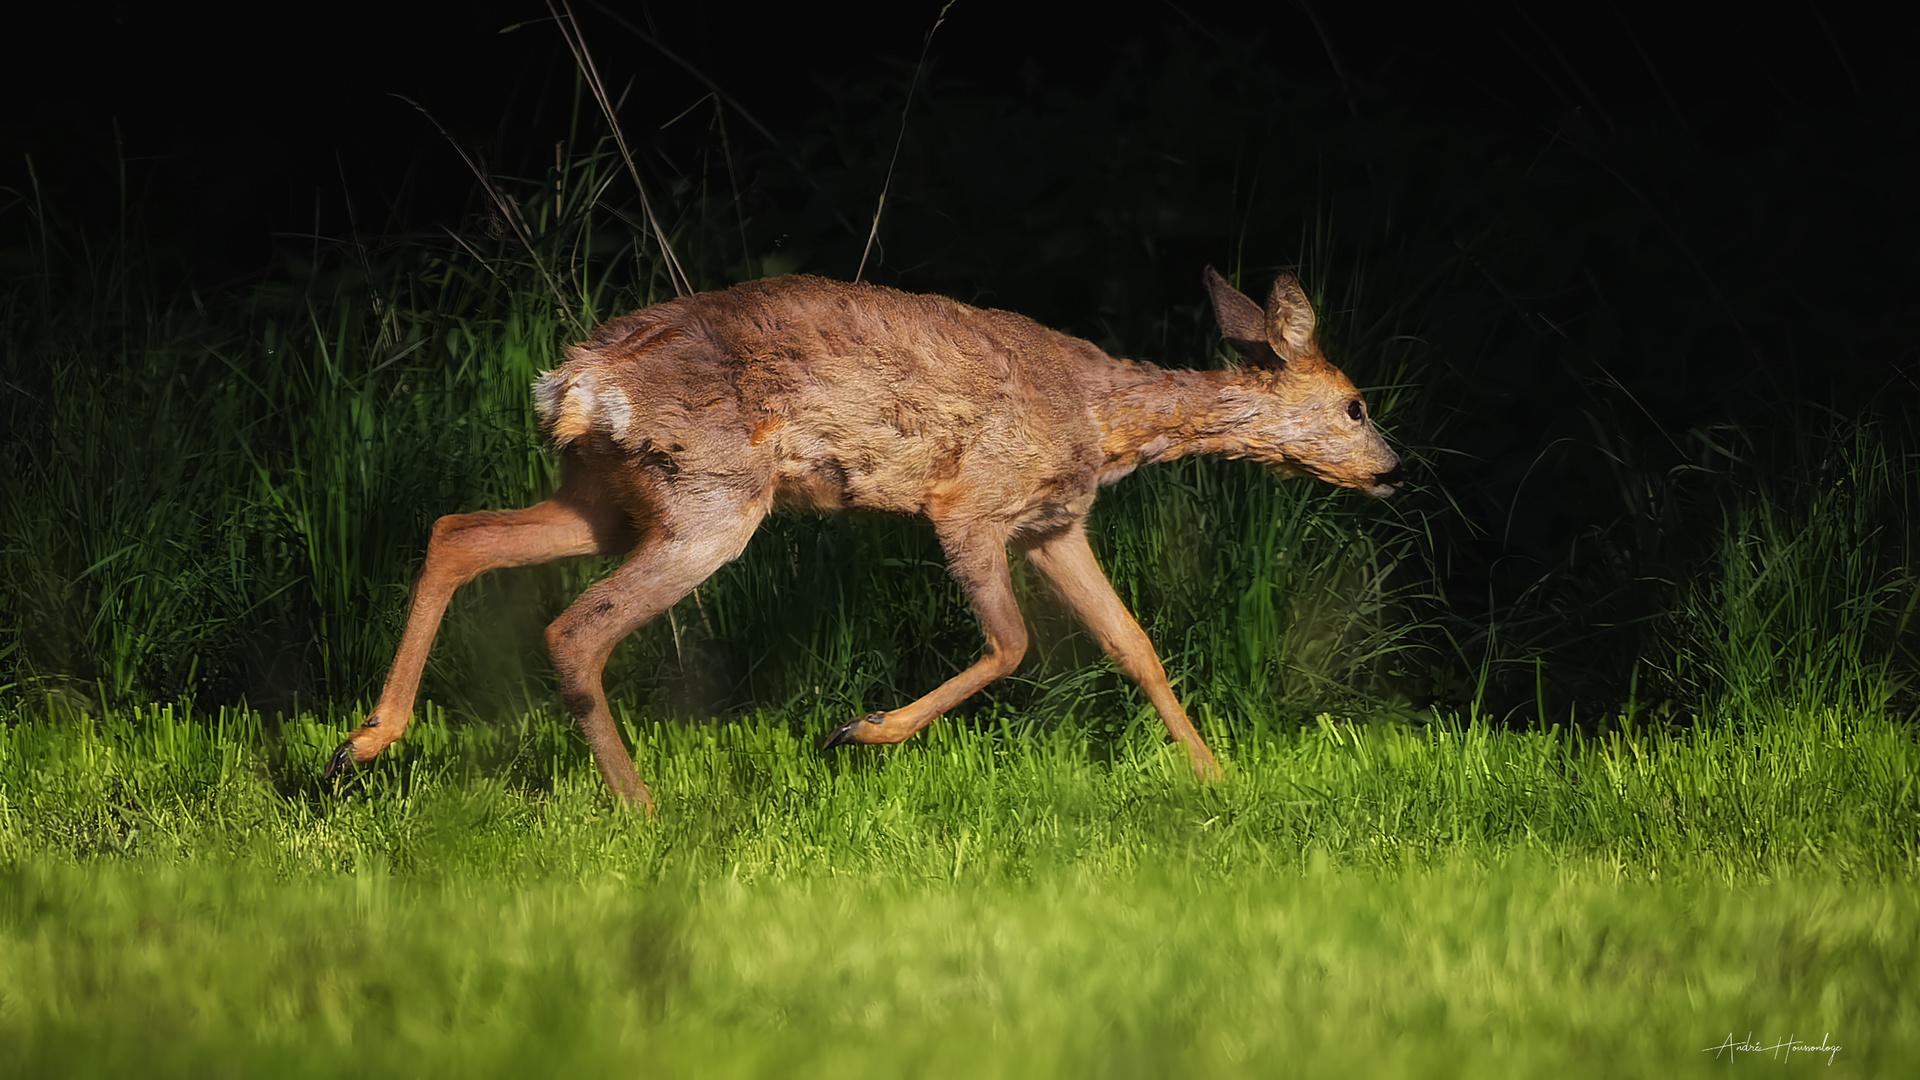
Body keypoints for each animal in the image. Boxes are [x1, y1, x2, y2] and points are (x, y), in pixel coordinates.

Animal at [326, 267, 1397, 807]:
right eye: (1354, 404)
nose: (1392, 469)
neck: (1104, 419)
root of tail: (579, 383)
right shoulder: (970, 504)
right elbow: (1014, 643)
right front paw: (859, 731)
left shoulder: (1053, 525)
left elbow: (1134, 644)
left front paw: (1214, 776)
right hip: (712, 499)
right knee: (575, 627)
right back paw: (644, 807)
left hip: (609, 497)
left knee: (458, 530)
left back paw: (363, 741)